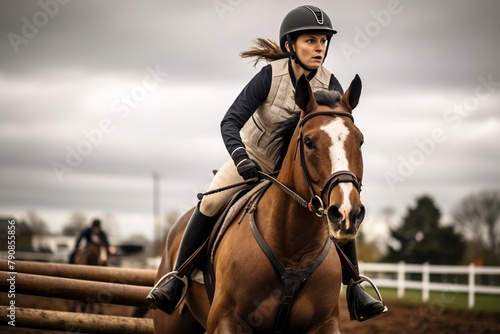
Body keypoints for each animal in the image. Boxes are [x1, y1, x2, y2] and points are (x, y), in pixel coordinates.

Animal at [153, 75, 368, 334]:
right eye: (309, 142)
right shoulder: (227, 320)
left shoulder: (324, 323)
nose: (346, 212)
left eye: (360, 141)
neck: (293, 250)